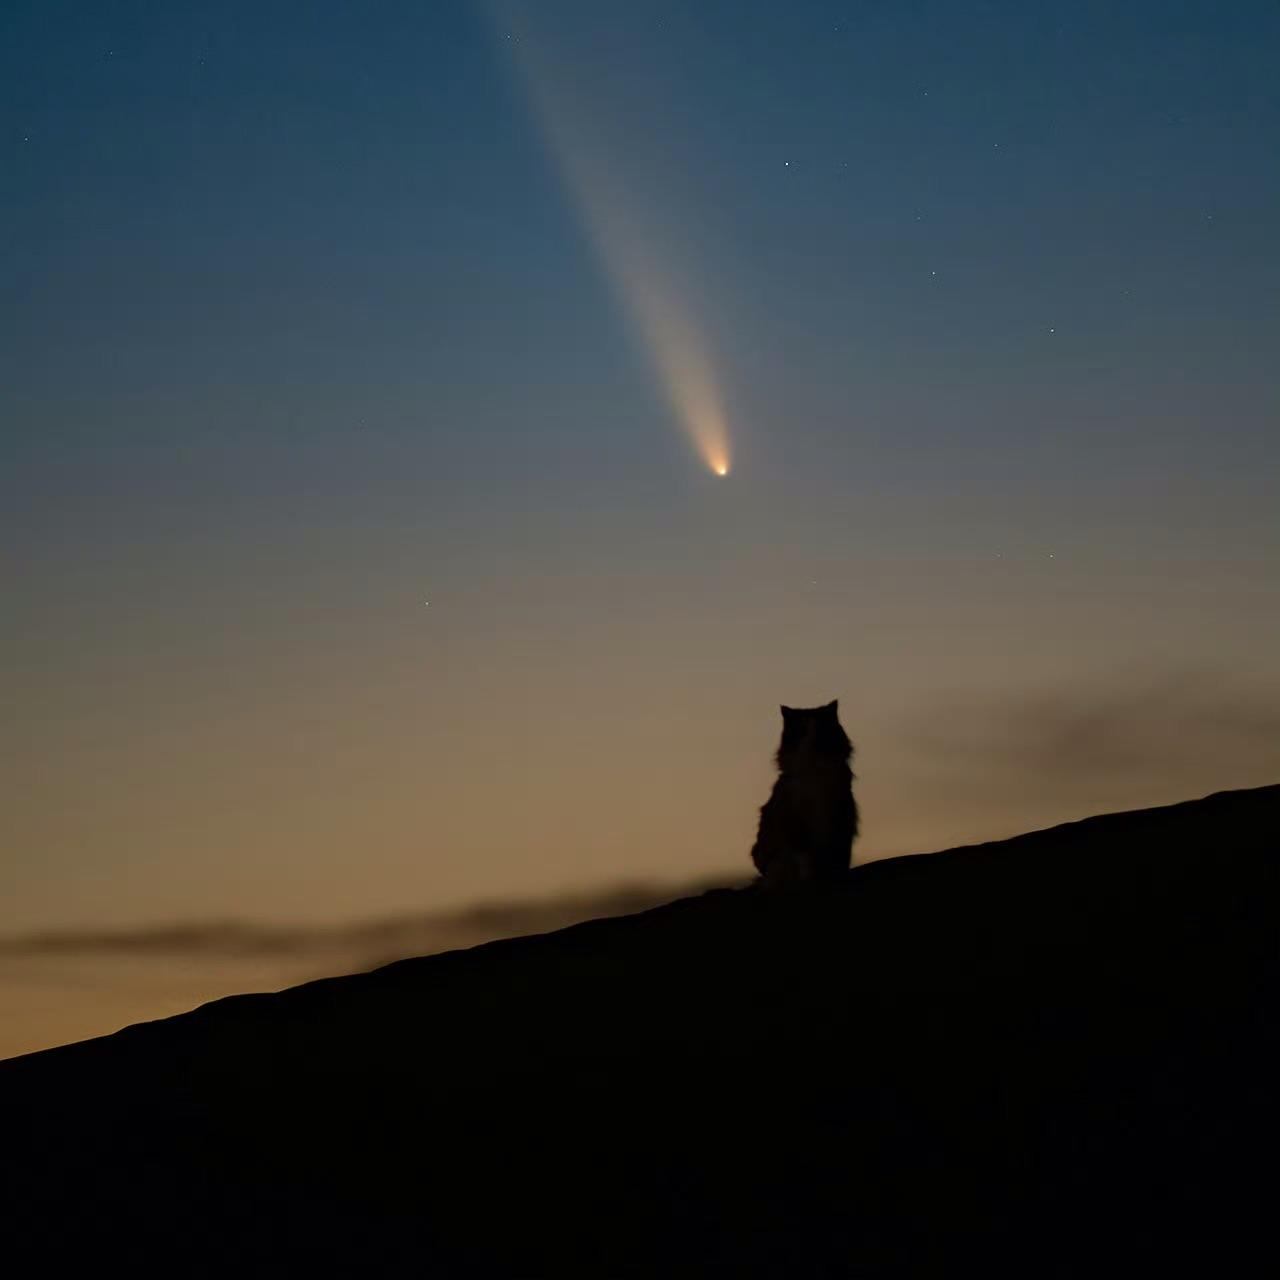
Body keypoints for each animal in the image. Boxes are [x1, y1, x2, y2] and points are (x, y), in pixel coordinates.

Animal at [747, 701, 860, 890]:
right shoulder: (796, 821)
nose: (810, 740)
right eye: (801, 731)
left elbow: (840, 856)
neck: (814, 773)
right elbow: (805, 857)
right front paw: (809, 878)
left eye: (821, 729)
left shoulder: (842, 817)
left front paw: (837, 875)